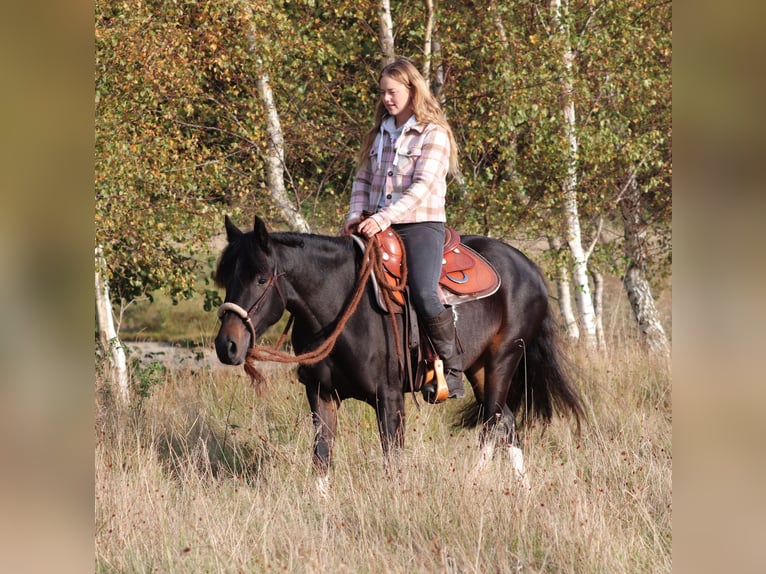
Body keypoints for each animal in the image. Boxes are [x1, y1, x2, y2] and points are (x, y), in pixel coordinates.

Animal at [212, 214, 584, 492]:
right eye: (227, 278)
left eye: (261, 278)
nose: (226, 346)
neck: (342, 307)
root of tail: (530, 269)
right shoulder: (320, 393)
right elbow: (321, 454)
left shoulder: (389, 398)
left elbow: (391, 460)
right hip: (479, 368)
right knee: (506, 421)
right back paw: (524, 489)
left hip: (503, 360)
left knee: (493, 422)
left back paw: (473, 483)